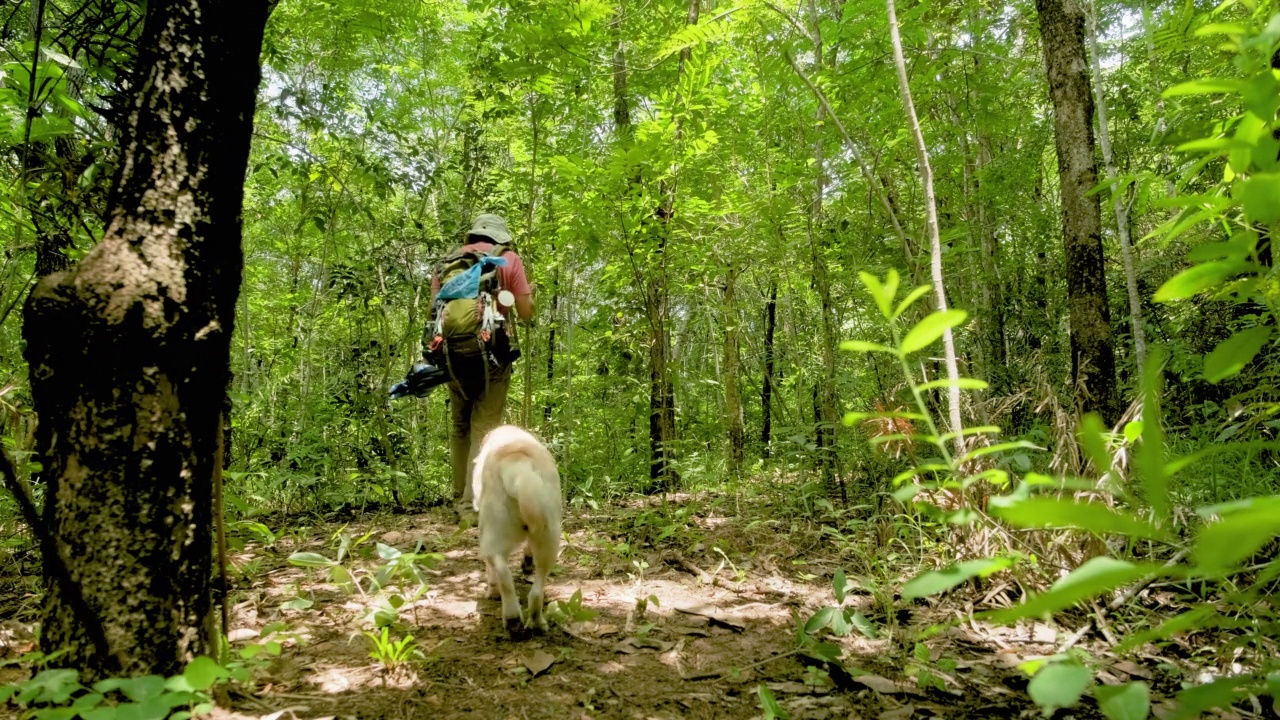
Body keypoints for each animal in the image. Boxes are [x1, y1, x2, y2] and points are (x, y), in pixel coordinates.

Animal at [471, 422, 560, 630]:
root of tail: (518, 466)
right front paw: (526, 563)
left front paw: (492, 591)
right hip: (549, 537)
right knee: (537, 587)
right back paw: (536, 620)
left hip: (493, 534)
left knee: (503, 573)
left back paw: (511, 617)